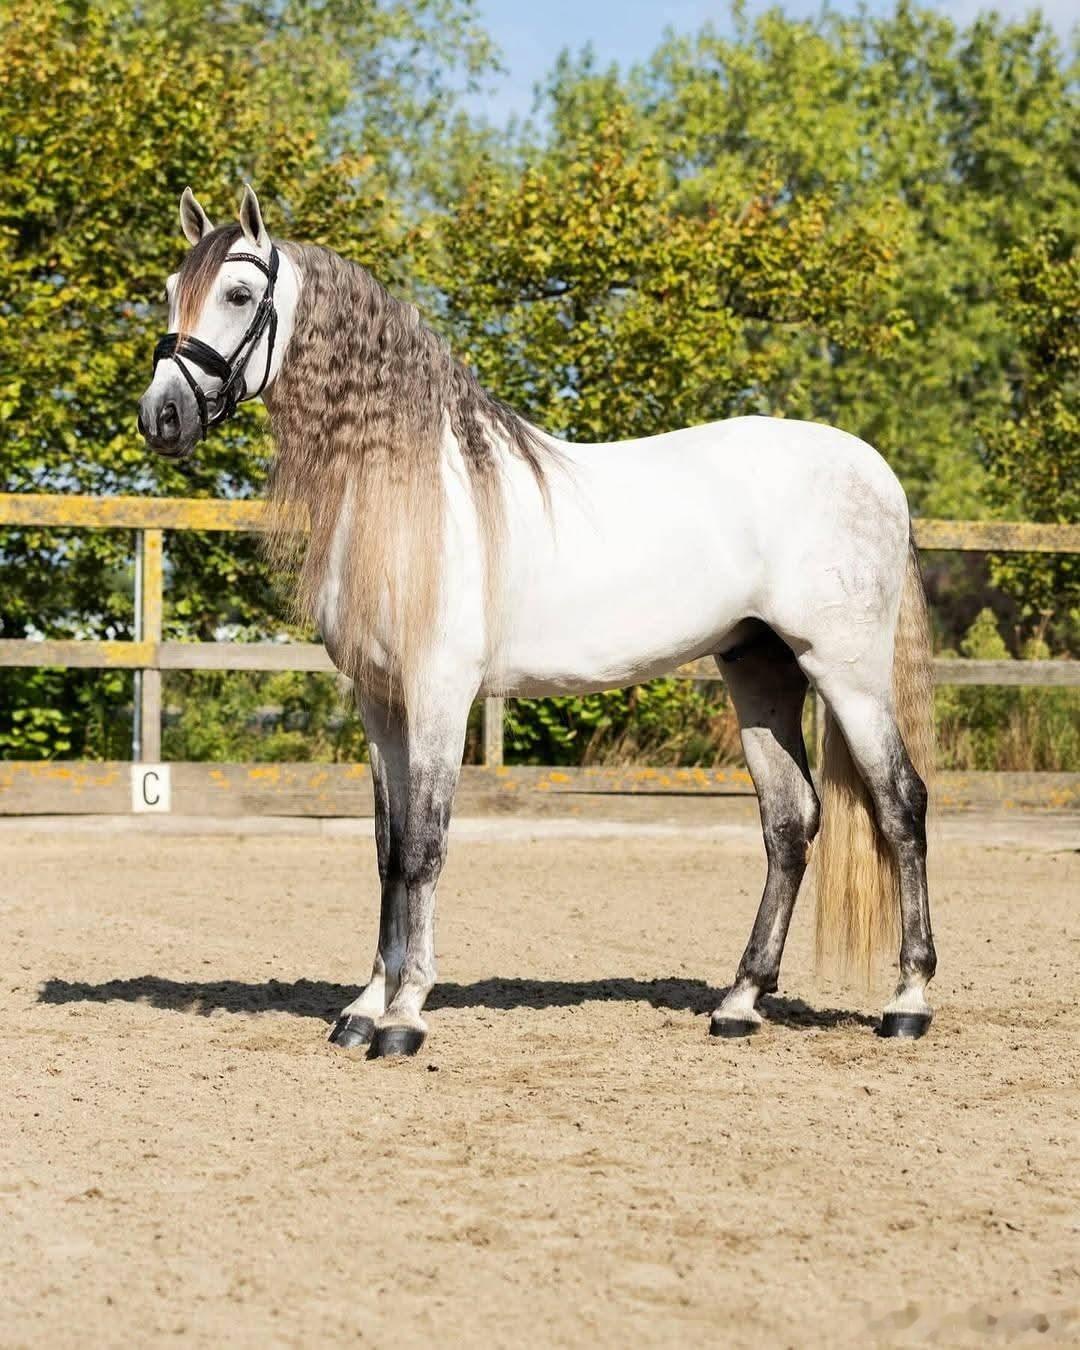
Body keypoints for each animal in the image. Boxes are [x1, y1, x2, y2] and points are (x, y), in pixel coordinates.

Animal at [138, 185, 937, 1059]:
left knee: (901, 806)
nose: (161, 417)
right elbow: (387, 850)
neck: (413, 489)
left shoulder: (440, 696)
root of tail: (872, 468)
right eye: (171, 291)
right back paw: (740, 1001)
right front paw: (362, 1008)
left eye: (238, 294)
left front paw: (405, 1016)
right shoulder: (379, 703)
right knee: (790, 822)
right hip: (759, 669)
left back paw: (908, 1001)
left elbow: (424, 847)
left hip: (846, 671)